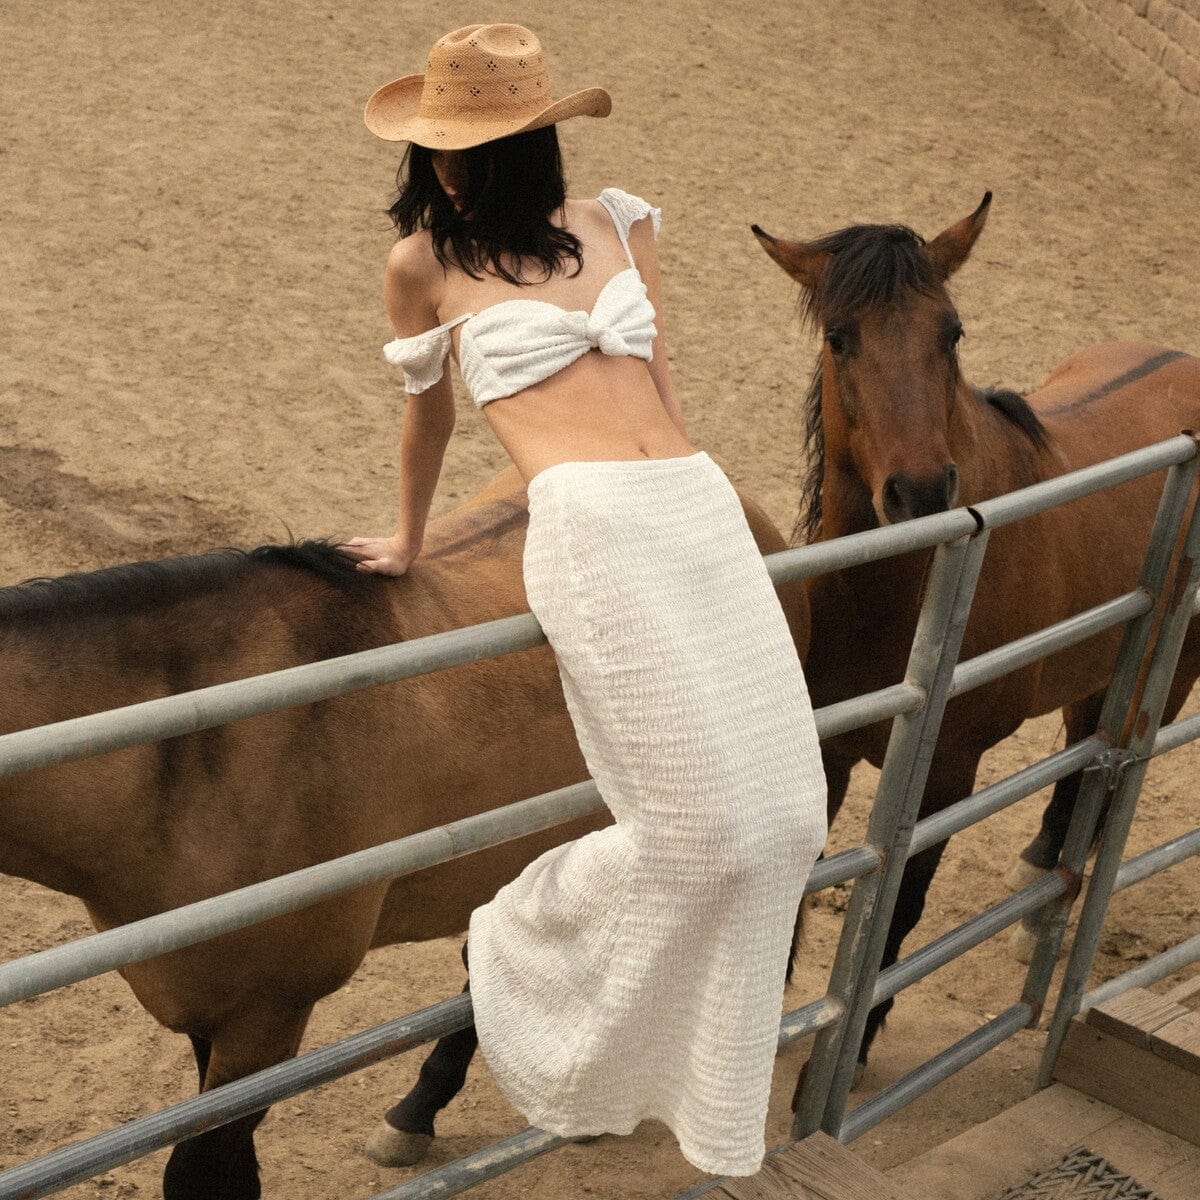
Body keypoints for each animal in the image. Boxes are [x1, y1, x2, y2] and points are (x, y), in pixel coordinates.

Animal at [753, 194, 1200, 1070]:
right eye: (839, 336)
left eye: (951, 331)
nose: (922, 490)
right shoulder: (824, 752)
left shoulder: (945, 774)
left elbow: (900, 906)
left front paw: (849, 1051)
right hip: (1102, 665)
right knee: (1086, 747)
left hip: (1176, 666)